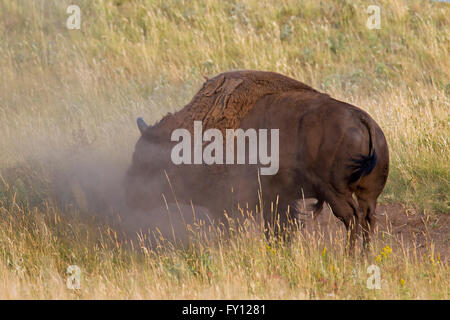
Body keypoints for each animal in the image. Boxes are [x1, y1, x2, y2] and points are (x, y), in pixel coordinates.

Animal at [125, 70, 388, 250]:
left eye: (147, 162)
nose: (129, 189)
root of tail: (363, 120)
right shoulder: (278, 201)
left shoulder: (232, 204)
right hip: (367, 195)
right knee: (368, 219)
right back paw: (364, 257)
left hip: (336, 193)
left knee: (352, 219)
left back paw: (349, 257)